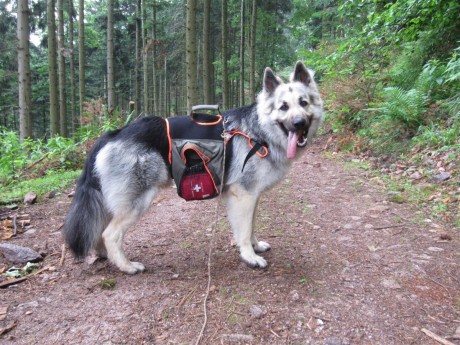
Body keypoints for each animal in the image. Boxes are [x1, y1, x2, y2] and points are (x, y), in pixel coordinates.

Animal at [63, 60, 324, 272]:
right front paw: (249, 257)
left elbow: (251, 227)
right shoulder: (243, 196)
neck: (259, 131)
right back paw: (127, 266)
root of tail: (113, 133)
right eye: (283, 107)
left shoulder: (253, 197)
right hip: (137, 202)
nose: (299, 123)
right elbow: (243, 230)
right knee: (110, 234)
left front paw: (255, 245)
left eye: (303, 103)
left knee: (101, 231)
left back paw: (106, 257)